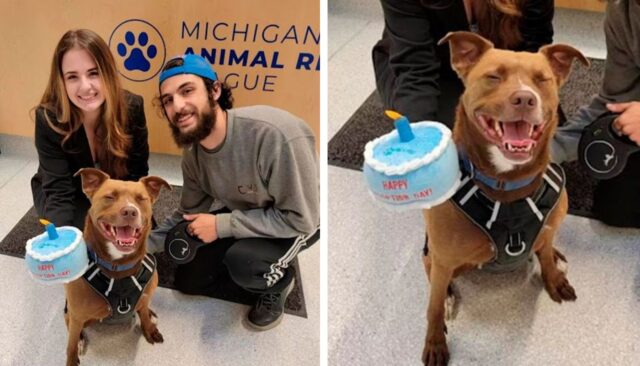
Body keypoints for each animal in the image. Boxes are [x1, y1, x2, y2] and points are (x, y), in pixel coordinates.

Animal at [63, 167, 170, 364]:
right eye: (110, 197)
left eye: (141, 198)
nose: (130, 211)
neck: (118, 265)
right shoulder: (77, 315)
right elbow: (71, 344)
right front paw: (72, 356)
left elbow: (143, 313)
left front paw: (148, 327)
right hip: (72, 314)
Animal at [420, 32, 592, 366]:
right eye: (493, 77)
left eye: (542, 79)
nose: (525, 98)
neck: (506, 186)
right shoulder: (443, 258)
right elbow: (432, 306)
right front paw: (435, 341)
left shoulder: (548, 228)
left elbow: (546, 254)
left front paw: (553, 277)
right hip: (433, 257)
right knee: (434, 279)